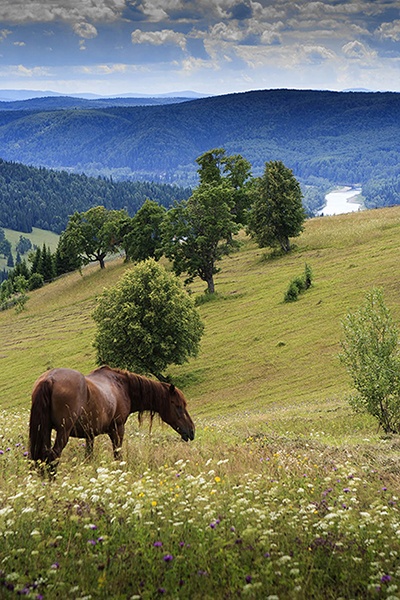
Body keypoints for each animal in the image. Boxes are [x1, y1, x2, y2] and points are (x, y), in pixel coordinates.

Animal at [29, 365, 195, 471]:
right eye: (178, 406)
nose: (192, 431)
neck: (122, 386)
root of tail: (49, 379)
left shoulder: (89, 435)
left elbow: (89, 456)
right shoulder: (117, 429)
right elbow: (117, 455)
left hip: (44, 430)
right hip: (63, 431)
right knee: (53, 456)